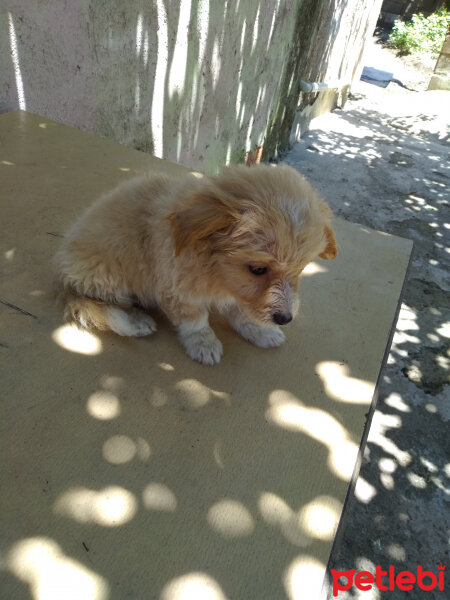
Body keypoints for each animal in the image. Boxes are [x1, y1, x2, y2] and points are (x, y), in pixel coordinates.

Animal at [54, 162, 336, 364]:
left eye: (300, 271)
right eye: (257, 269)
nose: (285, 318)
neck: (216, 273)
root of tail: (64, 273)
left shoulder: (238, 292)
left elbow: (242, 311)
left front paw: (260, 331)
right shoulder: (177, 289)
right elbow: (195, 320)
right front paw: (204, 343)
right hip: (109, 275)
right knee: (101, 304)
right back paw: (135, 322)